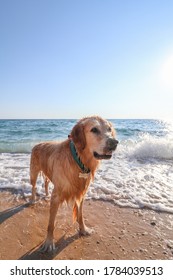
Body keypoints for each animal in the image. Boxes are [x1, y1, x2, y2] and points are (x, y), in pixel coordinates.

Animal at [30, 116, 119, 252]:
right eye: (94, 129)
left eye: (109, 129)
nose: (114, 143)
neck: (78, 159)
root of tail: (38, 143)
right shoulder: (57, 195)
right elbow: (51, 223)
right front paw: (49, 242)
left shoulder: (81, 193)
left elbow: (80, 215)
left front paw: (83, 229)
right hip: (34, 172)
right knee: (34, 186)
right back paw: (33, 199)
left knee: (45, 182)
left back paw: (46, 194)